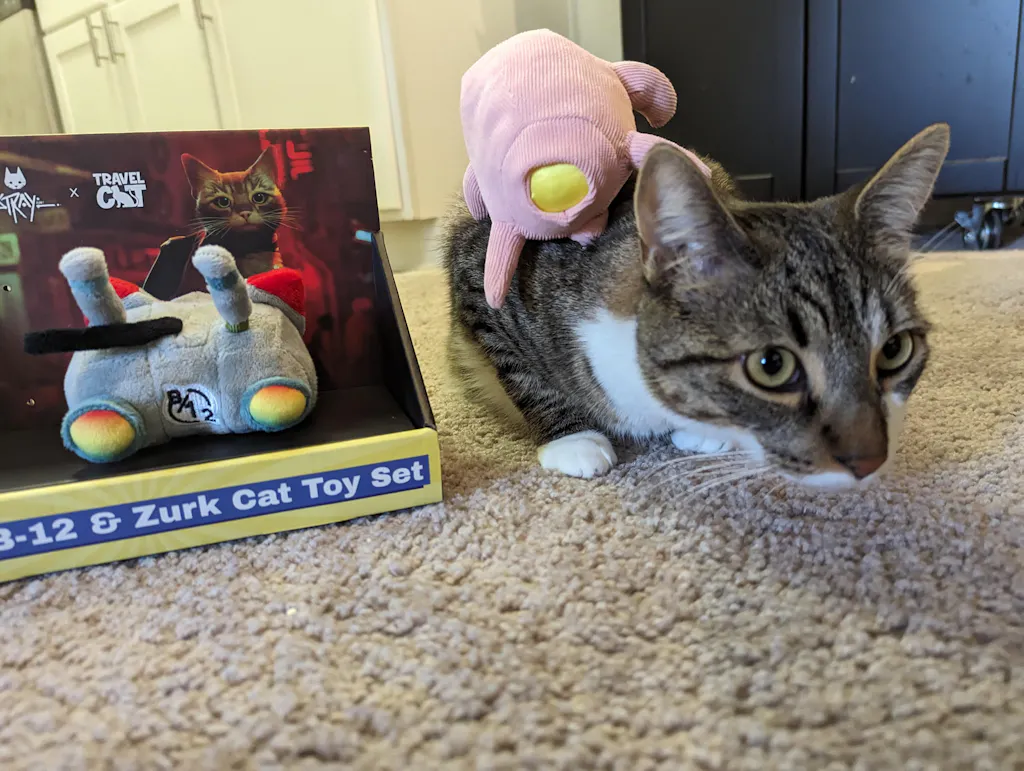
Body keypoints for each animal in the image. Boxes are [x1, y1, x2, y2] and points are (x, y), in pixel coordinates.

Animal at [441, 123, 950, 490]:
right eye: (771, 365)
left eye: (894, 350)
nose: (870, 460)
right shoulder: (483, 271)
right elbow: (521, 371)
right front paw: (573, 439)